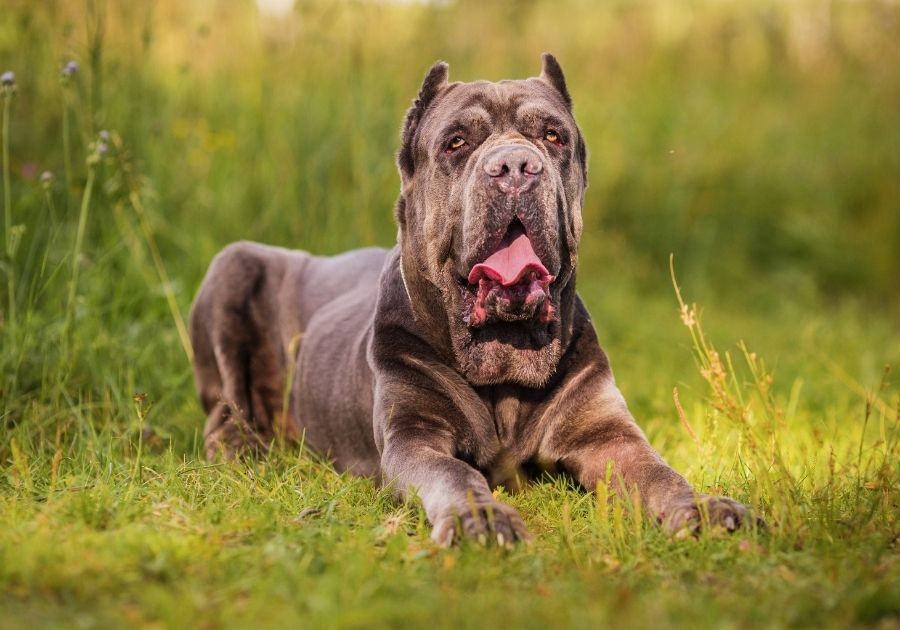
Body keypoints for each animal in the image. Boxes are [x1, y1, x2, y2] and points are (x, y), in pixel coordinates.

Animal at [190, 55, 752, 548]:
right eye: (457, 142)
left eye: (553, 136)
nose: (516, 166)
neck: (503, 358)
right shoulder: (414, 435)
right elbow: (454, 473)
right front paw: (479, 519)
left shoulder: (606, 432)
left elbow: (659, 472)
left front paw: (703, 509)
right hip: (231, 264)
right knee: (224, 412)